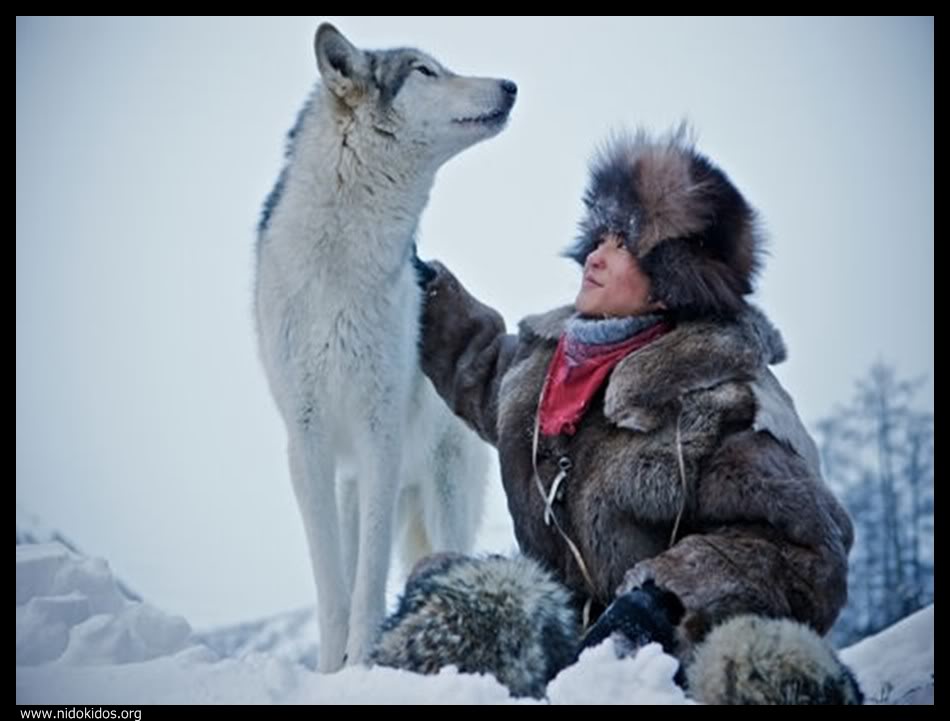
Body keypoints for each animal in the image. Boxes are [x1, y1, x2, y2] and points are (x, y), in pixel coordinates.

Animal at [256, 26, 516, 668]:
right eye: (424, 71)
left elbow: (369, 582)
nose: (511, 86)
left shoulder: (383, 436)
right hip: (352, 484)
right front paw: (331, 671)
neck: (340, 267)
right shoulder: (307, 442)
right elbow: (333, 585)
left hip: (444, 493)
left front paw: (364, 661)